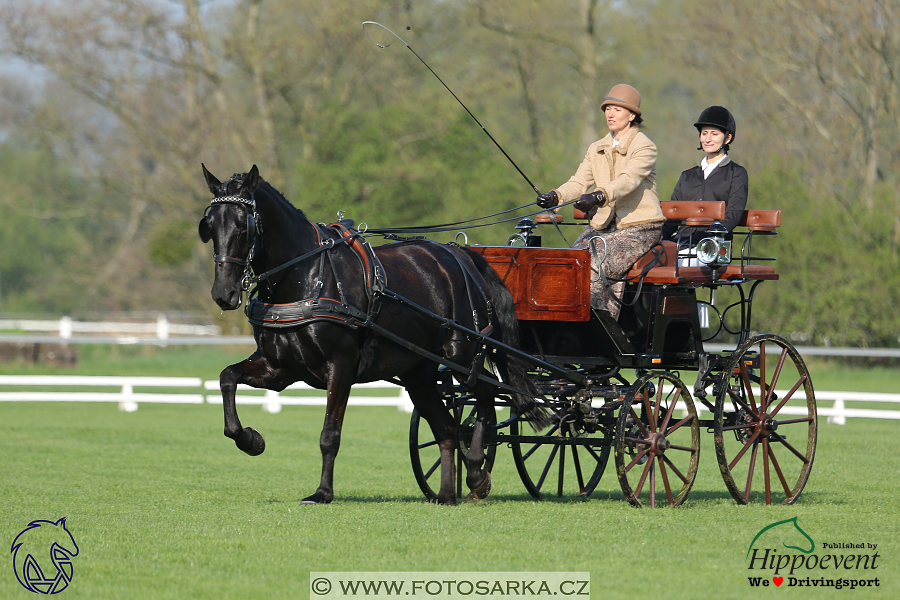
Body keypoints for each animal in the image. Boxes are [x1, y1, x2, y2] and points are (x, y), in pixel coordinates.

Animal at [200, 165, 544, 506]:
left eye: (243, 226)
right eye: (210, 226)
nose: (223, 293)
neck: (307, 275)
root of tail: (460, 254)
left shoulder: (340, 366)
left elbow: (329, 435)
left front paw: (322, 493)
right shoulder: (279, 369)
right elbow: (227, 377)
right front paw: (250, 439)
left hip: (463, 354)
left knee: (484, 396)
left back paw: (475, 473)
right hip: (418, 372)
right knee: (447, 428)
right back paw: (447, 494)